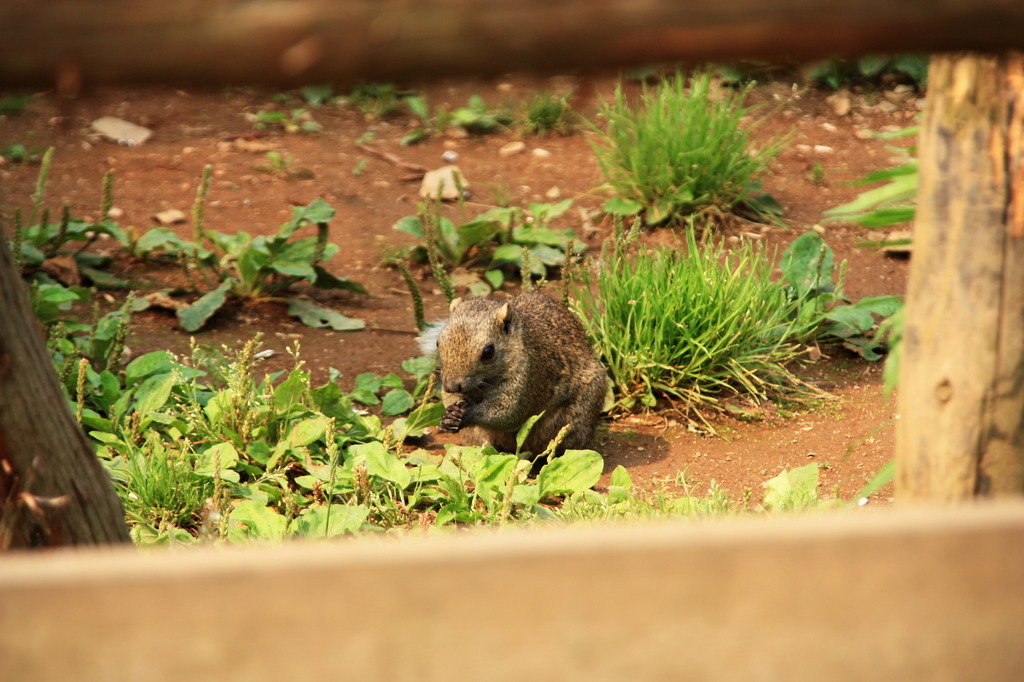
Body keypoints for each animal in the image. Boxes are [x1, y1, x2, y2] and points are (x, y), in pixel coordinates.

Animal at [434, 288, 606, 456]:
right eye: (438, 343)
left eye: (488, 352)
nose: (450, 386)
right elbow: (451, 399)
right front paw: (449, 417)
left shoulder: (530, 378)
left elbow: (508, 413)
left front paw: (466, 415)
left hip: (577, 420)